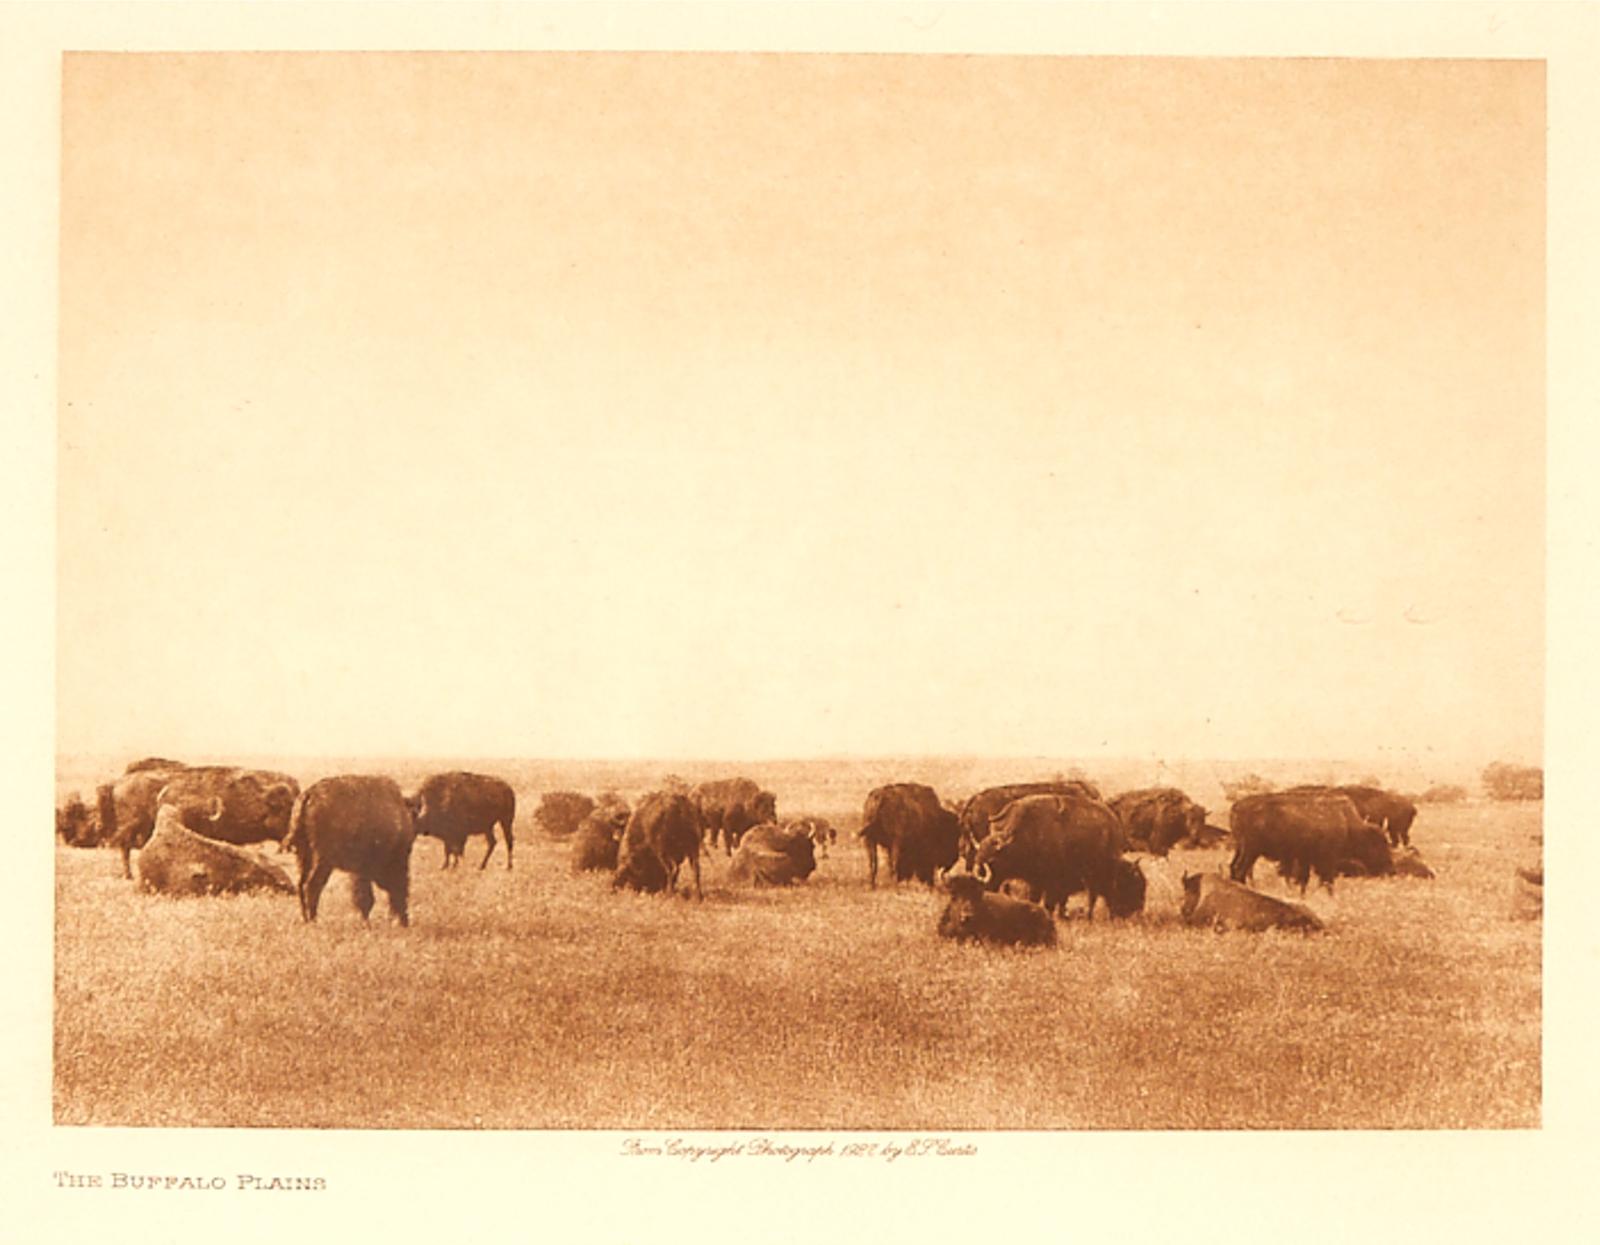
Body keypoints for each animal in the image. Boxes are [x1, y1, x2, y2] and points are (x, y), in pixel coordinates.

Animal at [284, 774, 416, 921]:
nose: (404, 921)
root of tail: (309, 794)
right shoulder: (363, 870)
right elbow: (365, 899)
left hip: (303, 856)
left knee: (301, 884)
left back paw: (306, 919)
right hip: (322, 860)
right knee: (312, 885)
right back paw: (314, 920)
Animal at [966, 790, 1145, 915]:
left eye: (993, 860)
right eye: (979, 857)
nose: (1138, 909)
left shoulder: (1052, 883)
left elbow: (1050, 902)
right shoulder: (1036, 882)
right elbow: (1037, 899)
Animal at [1228, 787, 1382, 889]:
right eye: (1377, 844)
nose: (1386, 869)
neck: (1345, 820)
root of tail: (1237, 806)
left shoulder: (1305, 859)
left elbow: (1305, 880)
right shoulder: (1326, 859)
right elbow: (1325, 880)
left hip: (1241, 848)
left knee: (1233, 867)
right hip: (1251, 850)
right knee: (1240, 869)